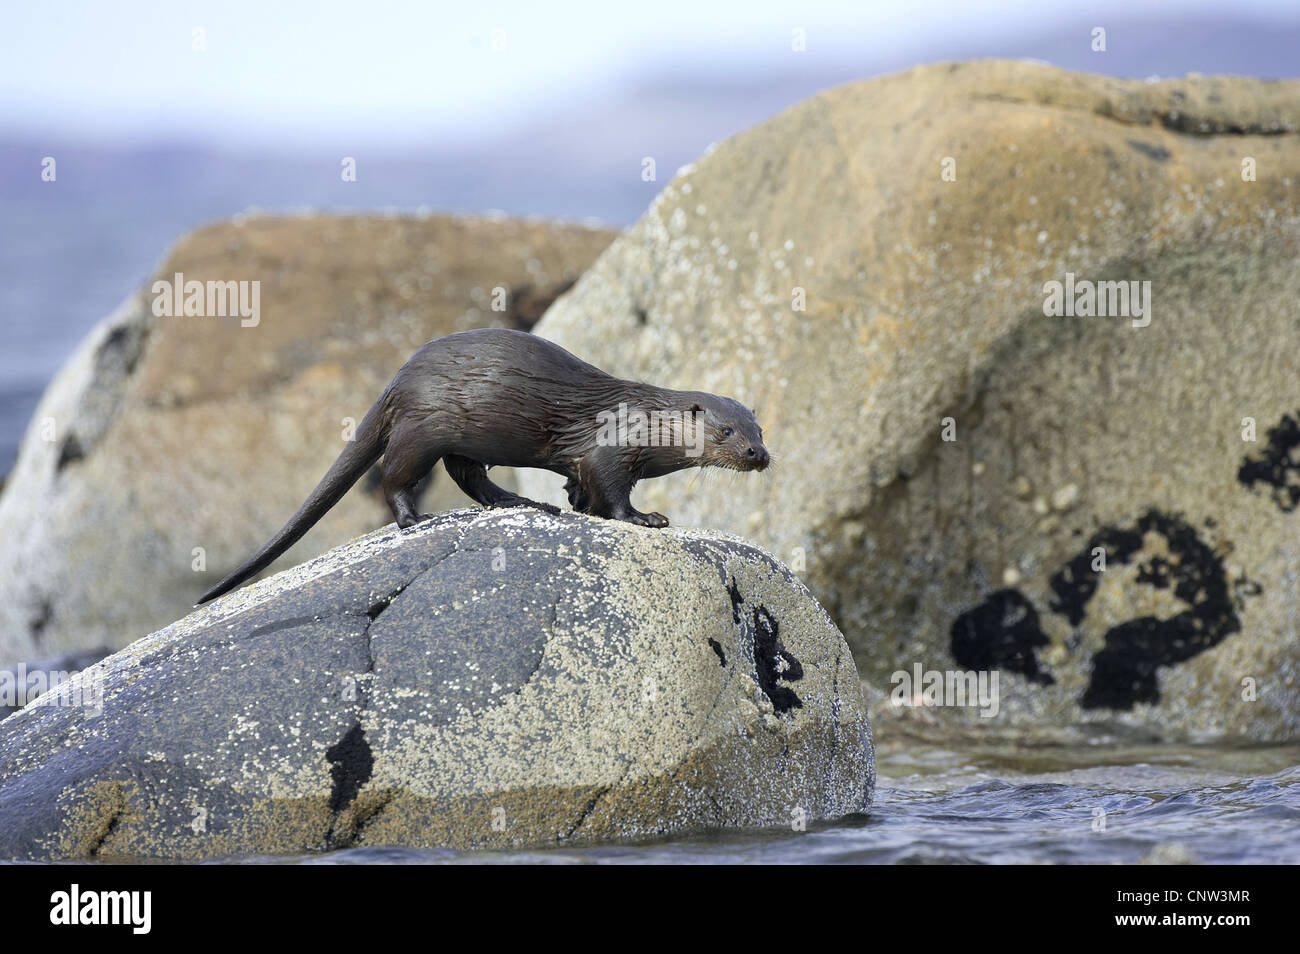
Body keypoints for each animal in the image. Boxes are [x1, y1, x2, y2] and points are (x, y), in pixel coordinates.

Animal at [197, 328, 764, 605]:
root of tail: (398, 379)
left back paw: (522, 501)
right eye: (727, 432)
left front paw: (576, 507)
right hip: (423, 427)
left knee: (469, 476)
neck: (646, 419)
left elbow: (580, 488)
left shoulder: (585, 462)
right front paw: (647, 519)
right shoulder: (610, 449)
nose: (758, 455)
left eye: (759, 430)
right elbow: (612, 493)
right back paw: (413, 518)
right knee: (397, 474)